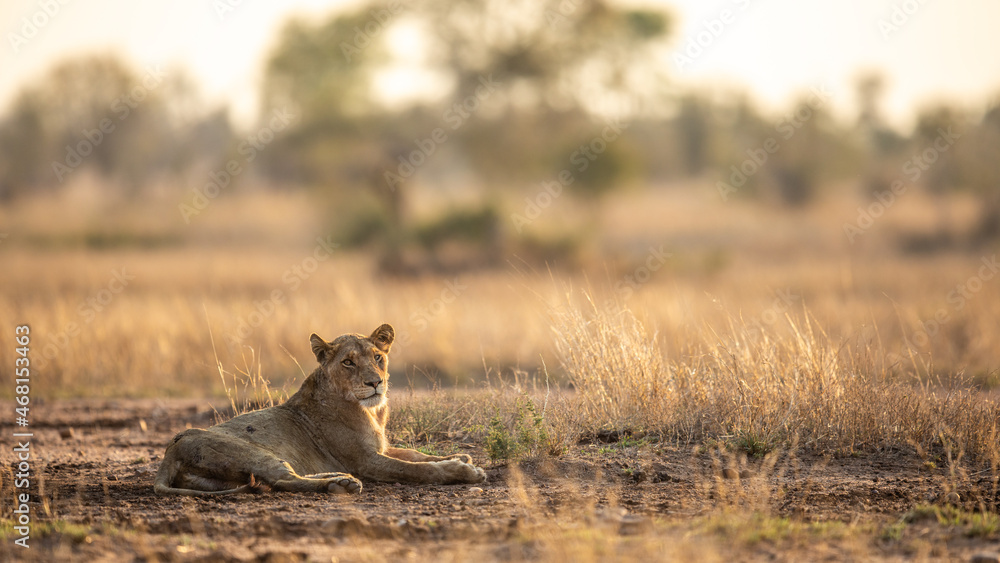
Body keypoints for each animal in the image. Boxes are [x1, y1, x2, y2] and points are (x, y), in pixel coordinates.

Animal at [154, 324, 486, 496]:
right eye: (348, 362)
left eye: (377, 357)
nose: (375, 382)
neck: (371, 411)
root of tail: (169, 453)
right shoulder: (366, 460)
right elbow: (416, 468)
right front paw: (463, 470)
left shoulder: (379, 448)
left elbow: (415, 455)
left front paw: (460, 456)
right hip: (253, 453)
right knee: (282, 480)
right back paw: (341, 484)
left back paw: (340, 479)